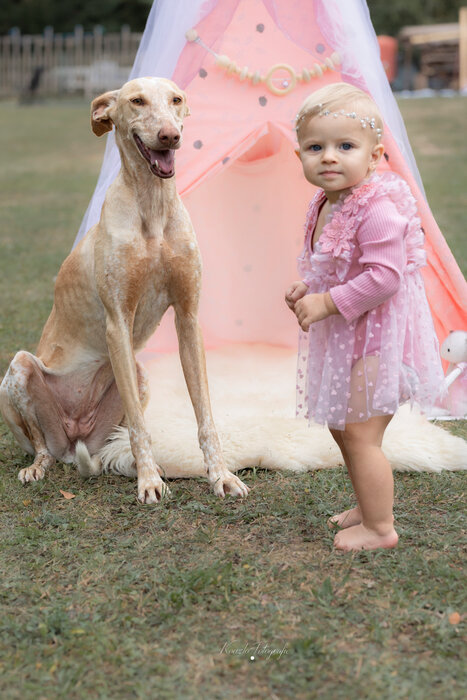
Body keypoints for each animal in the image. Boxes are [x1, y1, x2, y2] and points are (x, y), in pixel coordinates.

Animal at [0, 77, 249, 503]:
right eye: (137, 101)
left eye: (176, 99)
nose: (170, 136)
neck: (152, 206)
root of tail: (73, 438)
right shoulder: (118, 323)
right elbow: (139, 427)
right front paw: (148, 483)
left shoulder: (188, 319)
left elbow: (204, 416)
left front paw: (221, 476)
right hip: (19, 370)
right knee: (43, 446)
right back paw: (40, 467)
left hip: (138, 374)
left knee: (108, 446)